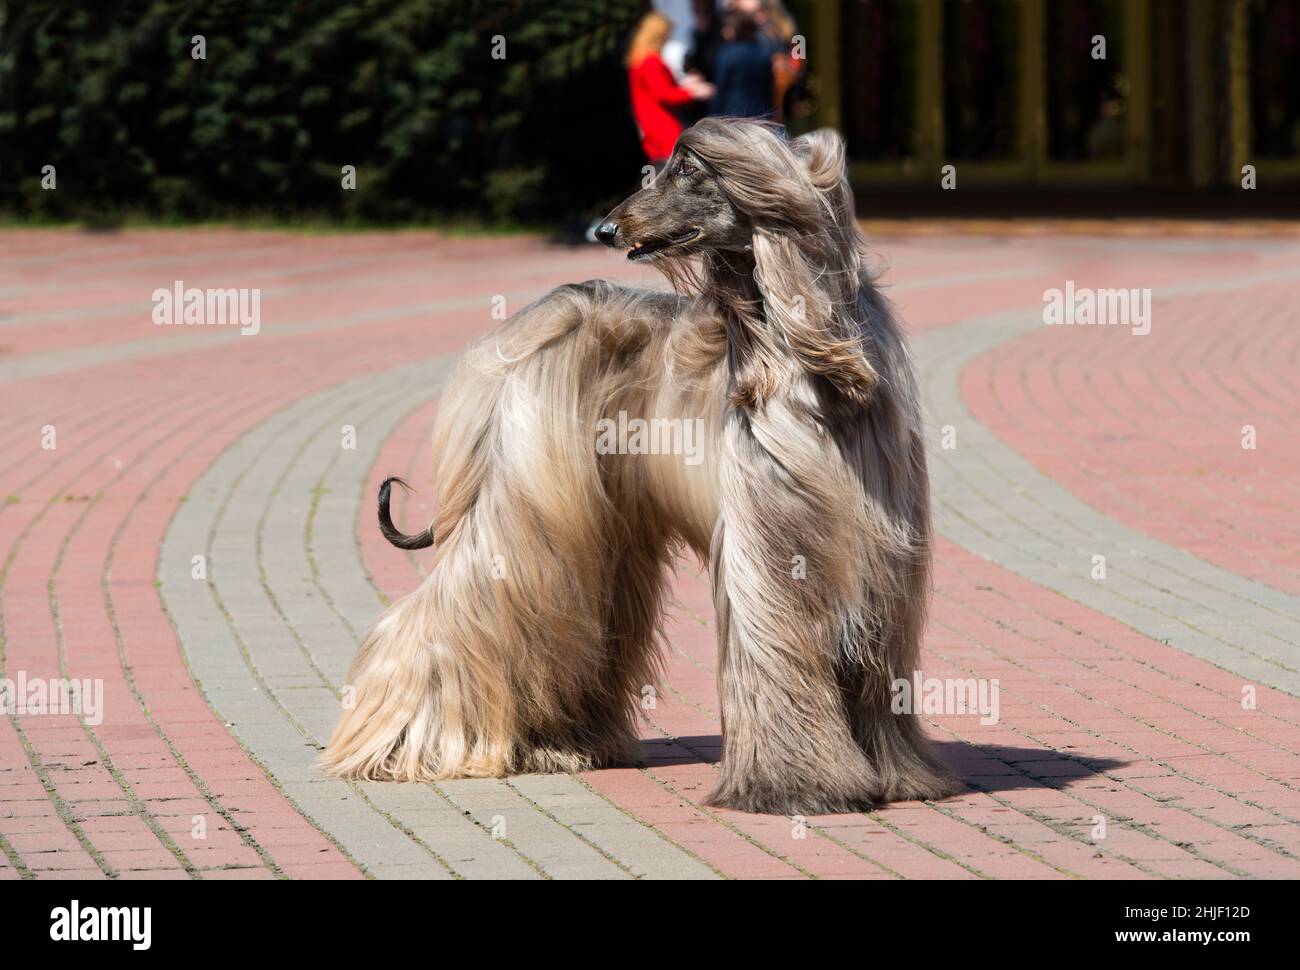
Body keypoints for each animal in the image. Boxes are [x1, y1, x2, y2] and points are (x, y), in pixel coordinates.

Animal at [319, 120, 961, 816]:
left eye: (687, 169)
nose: (604, 228)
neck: (806, 354)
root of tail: (524, 326)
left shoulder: (877, 546)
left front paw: (896, 775)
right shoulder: (767, 539)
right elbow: (773, 648)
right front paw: (794, 784)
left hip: (604, 531)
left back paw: (562, 742)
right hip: (522, 508)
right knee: (459, 606)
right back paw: (397, 743)